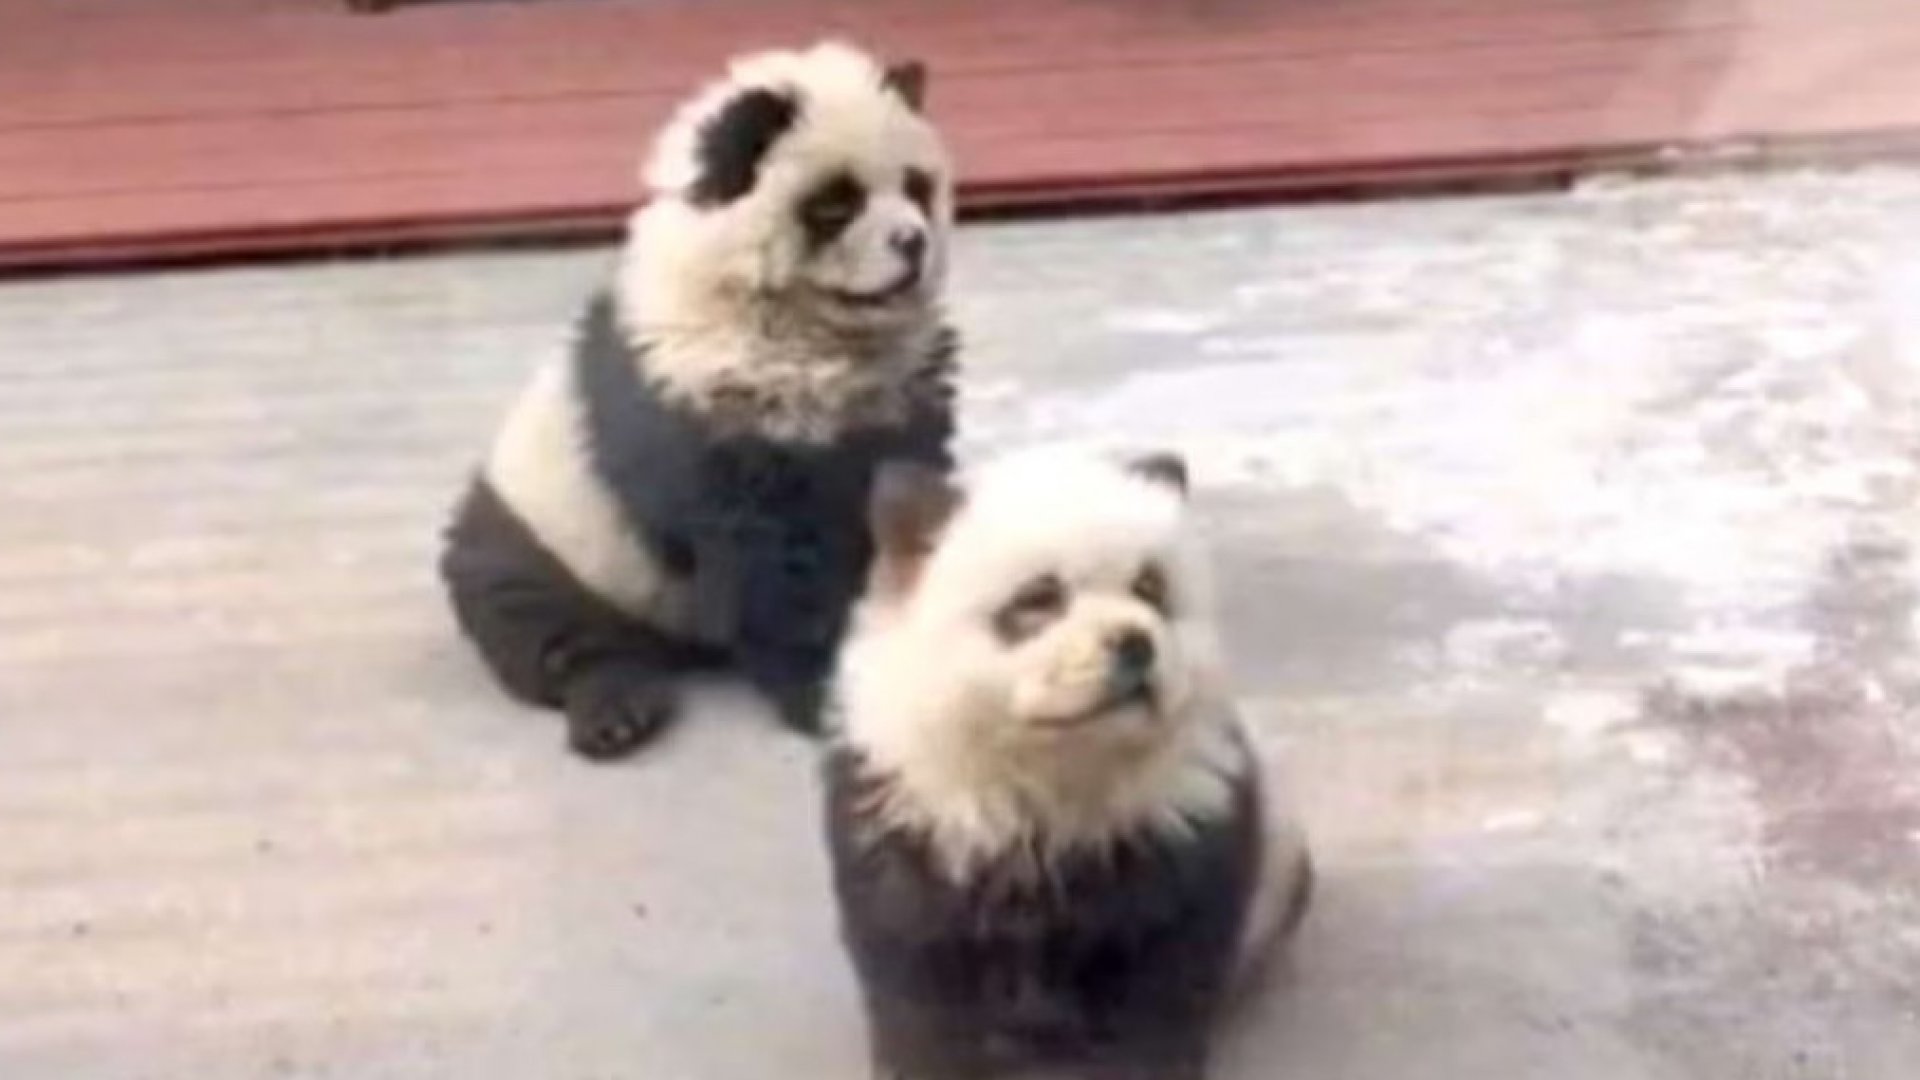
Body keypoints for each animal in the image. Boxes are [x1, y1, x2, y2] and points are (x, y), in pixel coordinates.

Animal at [438, 41, 958, 761]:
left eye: (916, 187)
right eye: (837, 204)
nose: (912, 242)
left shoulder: (903, 398)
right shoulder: (705, 398)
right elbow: (772, 562)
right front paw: (822, 689)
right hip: (546, 529)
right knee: (537, 621)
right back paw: (615, 709)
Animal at [823, 447, 1313, 1080]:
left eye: (1150, 586)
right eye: (1038, 598)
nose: (1136, 644)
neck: (1056, 777)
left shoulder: (1176, 849)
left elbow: (1157, 1015)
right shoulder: (916, 834)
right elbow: (922, 1012)